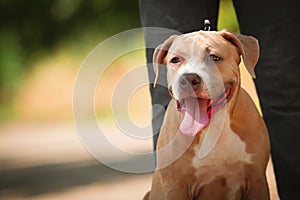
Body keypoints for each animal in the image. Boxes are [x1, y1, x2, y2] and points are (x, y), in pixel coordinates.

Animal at [144, 30, 270, 200]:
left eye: (214, 57)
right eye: (175, 60)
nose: (189, 78)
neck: (215, 126)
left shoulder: (257, 180)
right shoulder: (175, 186)